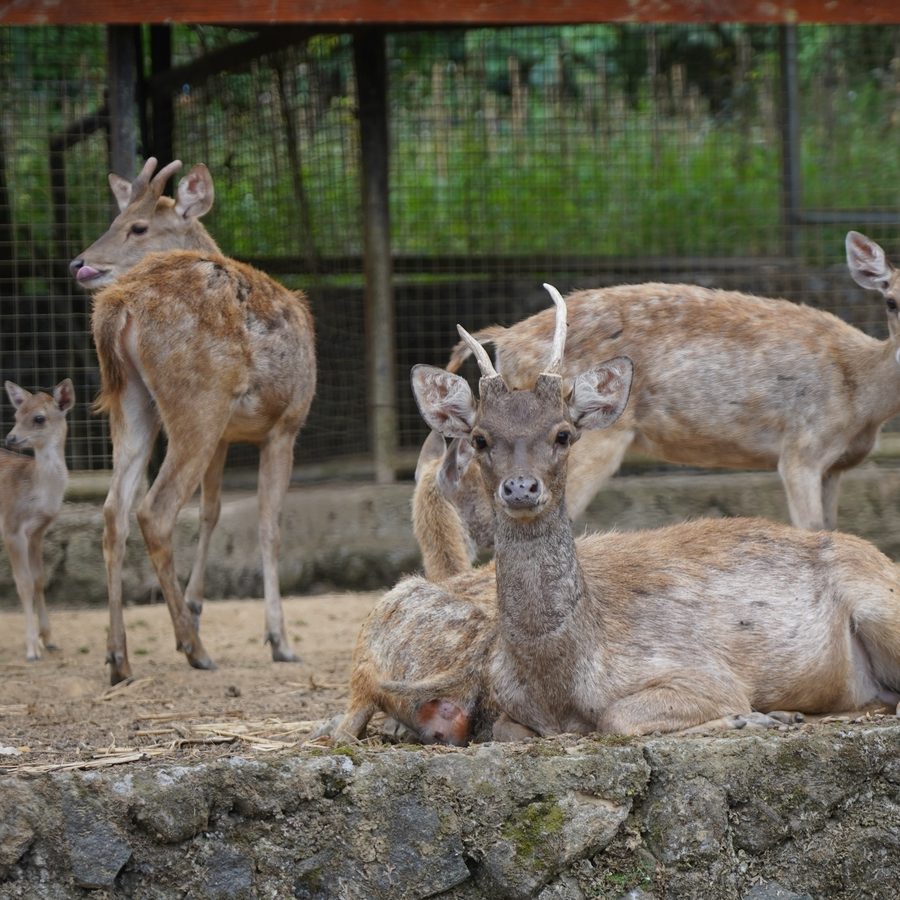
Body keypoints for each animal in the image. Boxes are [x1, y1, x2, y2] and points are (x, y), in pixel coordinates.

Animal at [1, 380, 75, 661]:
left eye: (39, 418)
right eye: (16, 415)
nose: (10, 438)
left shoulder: (38, 531)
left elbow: (39, 578)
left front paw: (50, 639)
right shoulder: (11, 527)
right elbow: (23, 583)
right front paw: (32, 649)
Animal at [72, 157, 316, 684]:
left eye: (137, 226)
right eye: (118, 219)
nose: (80, 263)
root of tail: (118, 307)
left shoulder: (227, 436)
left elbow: (212, 512)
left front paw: (198, 602)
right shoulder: (286, 424)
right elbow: (269, 525)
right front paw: (280, 641)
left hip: (133, 402)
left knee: (113, 511)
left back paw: (118, 657)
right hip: (197, 400)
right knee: (154, 510)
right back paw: (194, 647)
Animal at [403, 284, 900, 739]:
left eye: (562, 433)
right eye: (481, 437)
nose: (521, 487)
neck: (558, 680)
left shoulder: (701, 670)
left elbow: (617, 716)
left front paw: (752, 716)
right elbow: (509, 729)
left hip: (882, 604)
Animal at [436, 231, 900, 537]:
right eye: (891, 300)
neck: (861, 398)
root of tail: (505, 338)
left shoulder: (834, 467)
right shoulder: (800, 448)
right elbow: (813, 530)